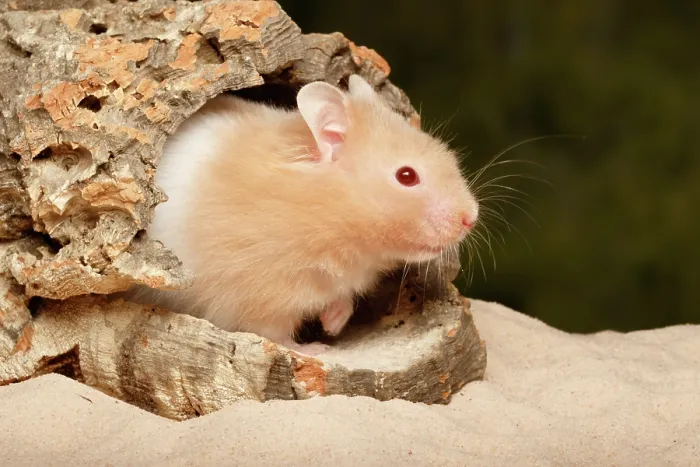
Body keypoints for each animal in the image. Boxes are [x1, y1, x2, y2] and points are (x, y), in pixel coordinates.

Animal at [129, 75, 479, 355]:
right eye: (406, 176)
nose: (471, 218)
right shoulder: (258, 293)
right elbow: (274, 333)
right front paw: (317, 348)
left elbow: (342, 300)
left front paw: (333, 324)